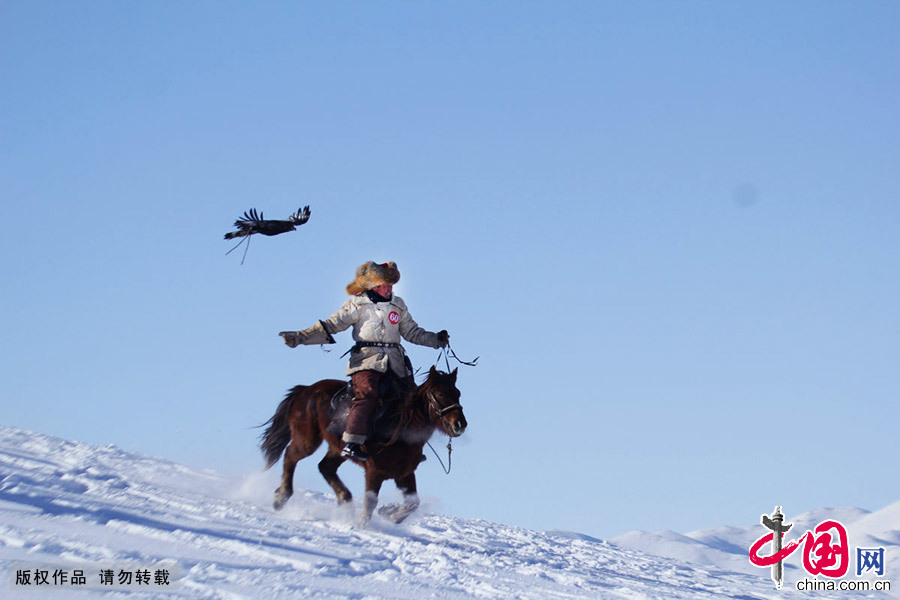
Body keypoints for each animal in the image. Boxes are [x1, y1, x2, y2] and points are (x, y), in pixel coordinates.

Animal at [253, 366, 464, 524]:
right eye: (440, 393)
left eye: (458, 393)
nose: (460, 424)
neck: (400, 426)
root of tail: (306, 389)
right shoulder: (374, 472)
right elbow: (371, 502)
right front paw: (363, 523)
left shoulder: (404, 474)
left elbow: (413, 503)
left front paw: (389, 513)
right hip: (307, 440)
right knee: (291, 455)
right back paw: (281, 497)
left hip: (337, 449)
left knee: (325, 467)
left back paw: (344, 500)